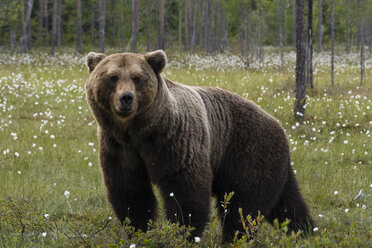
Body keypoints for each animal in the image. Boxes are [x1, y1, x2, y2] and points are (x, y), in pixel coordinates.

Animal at [85, 50, 314, 242]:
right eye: (112, 77)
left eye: (137, 77)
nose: (126, 98)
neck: (140, 132)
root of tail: (280, 126)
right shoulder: (119, 147)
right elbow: (130, 189)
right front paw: (139, 231)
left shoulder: (176, 141)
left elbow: (185, 189)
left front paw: (183, 233)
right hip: (273, 163)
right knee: (288, 203)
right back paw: (307, 231)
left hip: (249, 150)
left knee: (244, 204)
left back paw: (233, 238)